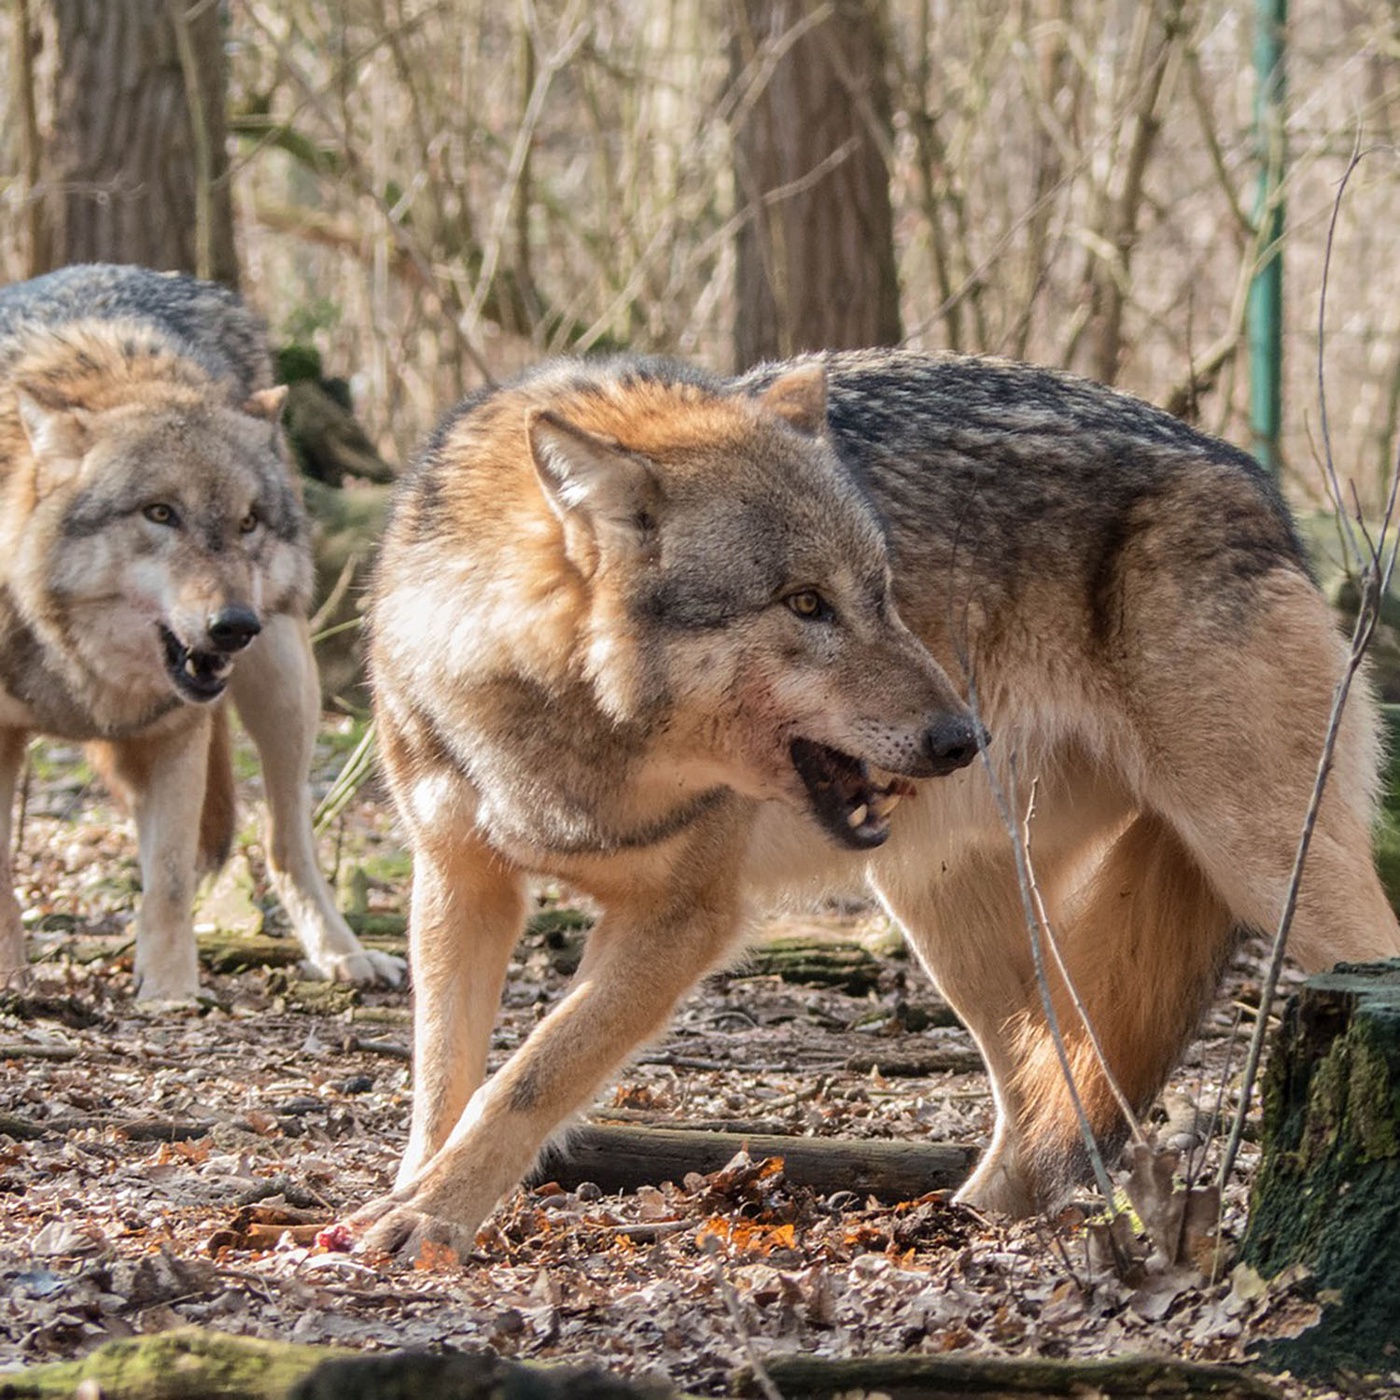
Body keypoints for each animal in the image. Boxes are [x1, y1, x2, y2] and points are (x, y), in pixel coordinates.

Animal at [0, 263, 406, 1002]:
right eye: (160, 513)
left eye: (247, 522)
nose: (235, 626)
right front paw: (13, 977)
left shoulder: (177, 732)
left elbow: (167, 881)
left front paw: (170, 995)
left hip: (284, 685)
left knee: (285, 841)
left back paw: (344, 953)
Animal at [352, 344, 1400, 1254]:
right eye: (806, 604)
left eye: (884, 591)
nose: (962, 739)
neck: (564, 733)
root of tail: (1254, 483)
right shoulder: (458, 880)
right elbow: (443, 1077)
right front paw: (408, 1197)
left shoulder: (683, 919)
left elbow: (528, 1077)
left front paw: (429, 1218)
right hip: (949, 913)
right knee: (1051, 1076)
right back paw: (977, 1223)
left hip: (1274, 870)